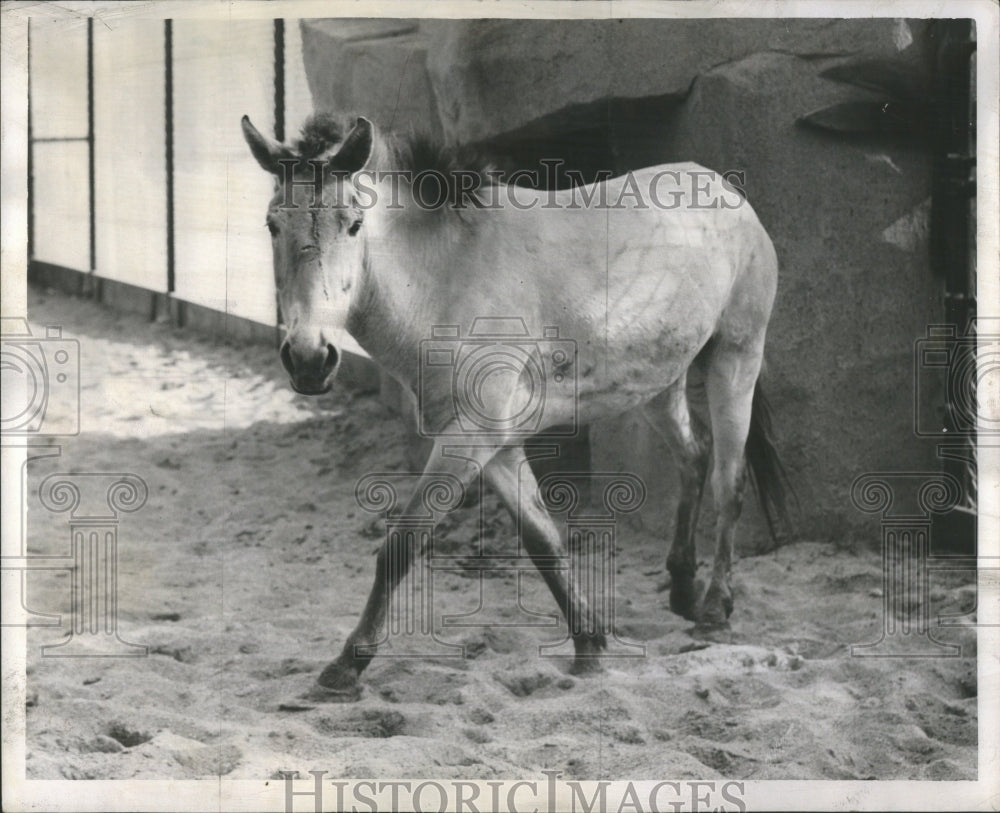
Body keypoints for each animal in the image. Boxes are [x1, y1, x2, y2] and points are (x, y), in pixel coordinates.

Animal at [238, 111, 792, 700]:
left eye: (354, 224)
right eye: (272, 225)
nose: (309, 358)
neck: (448, 277)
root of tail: (723, 190)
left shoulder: (469, 439)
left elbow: (401, 547)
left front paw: (346, 665)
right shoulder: (494, 445)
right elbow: (543, 540)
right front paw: (590, 647)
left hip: (736, 358)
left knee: (729, 481)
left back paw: (713, 610)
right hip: (659, 385)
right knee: (694, 458)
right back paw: (683, 590)